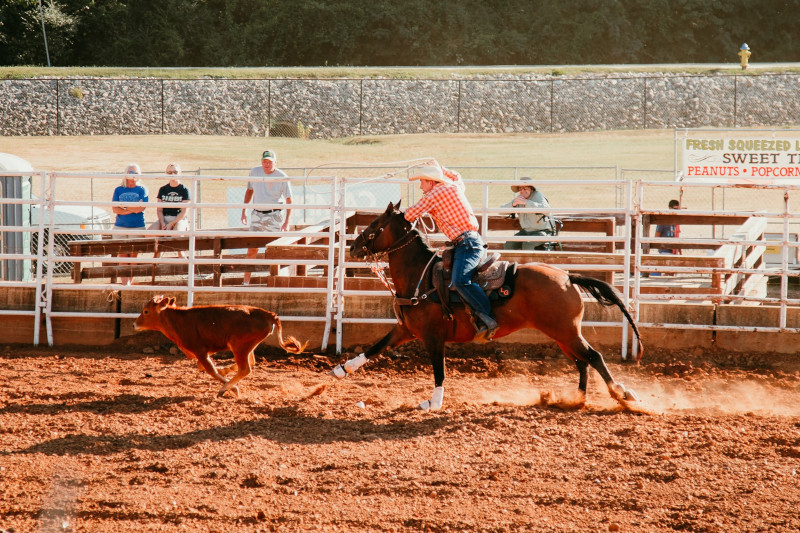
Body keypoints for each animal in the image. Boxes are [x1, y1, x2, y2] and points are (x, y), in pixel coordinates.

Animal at [133, 296, 308, 394]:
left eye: (146, 311)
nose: (134, 324)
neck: (178, 321)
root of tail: (268, 314)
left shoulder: (200, 351)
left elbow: (210, 369)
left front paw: (231, 387)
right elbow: (203, 367)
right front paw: (224, 370)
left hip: (239, 346)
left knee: (245, 368)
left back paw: (225, 389)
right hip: (246, 347)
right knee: (251, 362)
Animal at [332, 202, 644, 410]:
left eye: (375, 226)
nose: (353, 247)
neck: (420, 277)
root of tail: (568, 276)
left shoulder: (433, 336)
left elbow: (439, 370)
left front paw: (434, 402)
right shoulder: (406, 330)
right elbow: (375, 347)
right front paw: (340, 370)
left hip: (566, 331)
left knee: (594, 357)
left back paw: (622, 394)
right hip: (562, 334)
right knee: (582, 361)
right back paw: (576, 399)